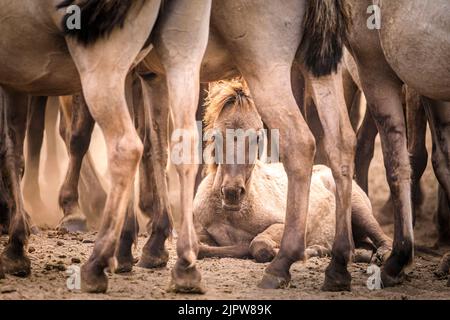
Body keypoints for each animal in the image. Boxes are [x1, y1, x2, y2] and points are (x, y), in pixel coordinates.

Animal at [193, 81, 390, 264]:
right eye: (215, 135)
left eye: (258, 137)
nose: (232, 192)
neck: (232, 215)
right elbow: (200, 247)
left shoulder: (283, 225)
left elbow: (258, 245)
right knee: (360, 247)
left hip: (359, 210)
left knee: (383, 239)